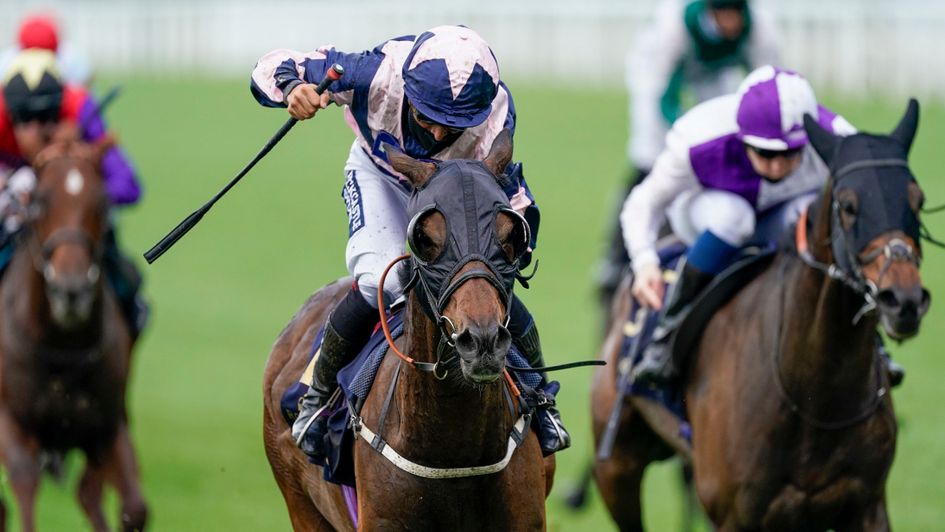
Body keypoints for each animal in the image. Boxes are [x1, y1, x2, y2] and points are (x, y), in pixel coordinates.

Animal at [0, 142, 148, 532]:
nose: (71, 290)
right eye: (39, 201)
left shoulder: (105, 426)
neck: (61, 346)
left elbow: (130, 507)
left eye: (102, 203)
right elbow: (24, 487)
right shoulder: (11, 422)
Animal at [592, 102, 932, 528]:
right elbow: (646, 198)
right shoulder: (734, 514)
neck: (814, 397)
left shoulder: (867, 506)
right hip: (616, 465)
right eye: (849, 204)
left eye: (917, 199)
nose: (902, 300)